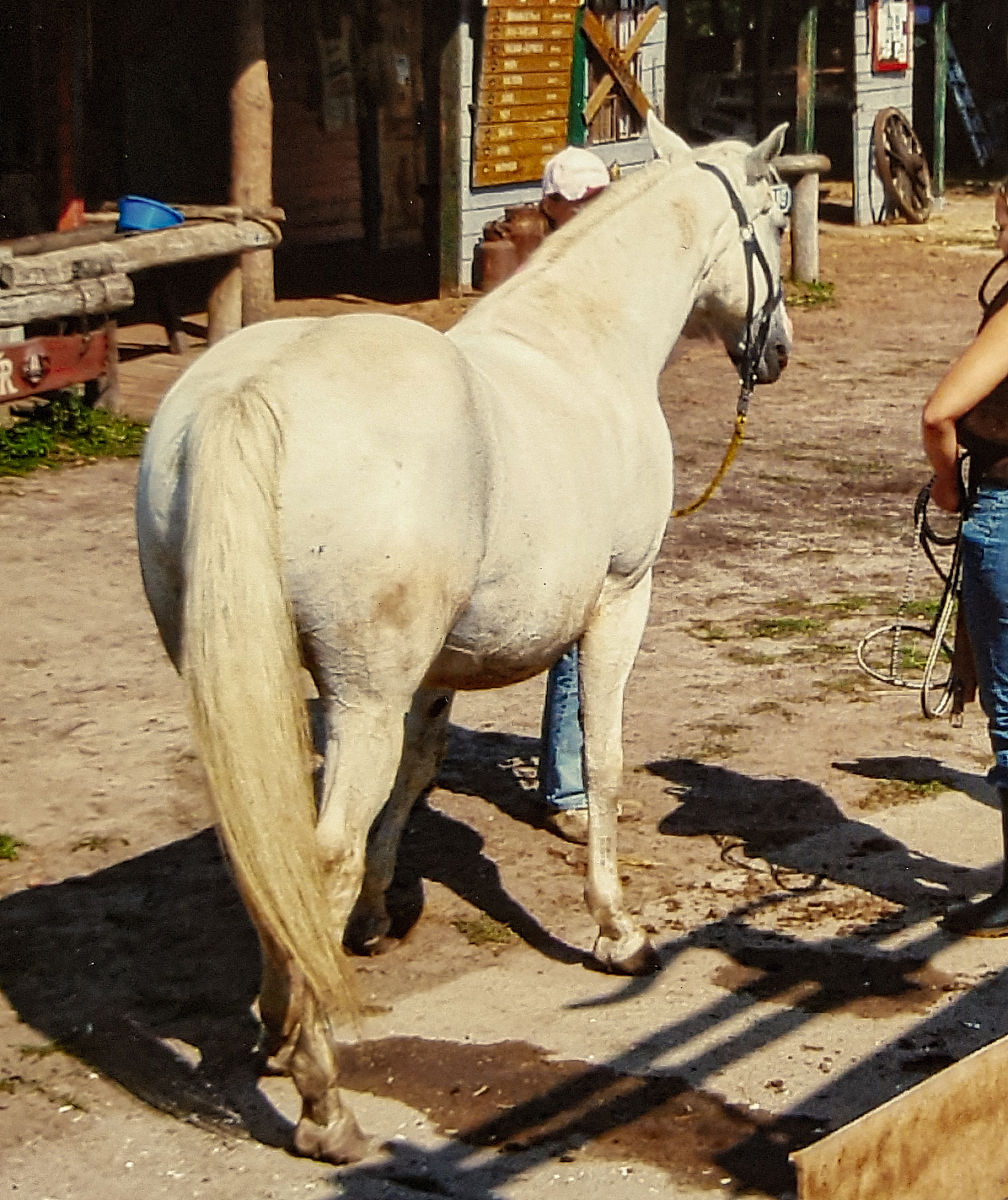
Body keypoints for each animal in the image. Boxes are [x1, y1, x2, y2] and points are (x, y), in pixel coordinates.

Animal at [135, 112, 792, 1163]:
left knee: (267, 843)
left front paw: (376, 919)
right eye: (775, 215)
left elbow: (418, 773)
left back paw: (279, 1021)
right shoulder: (620, 603)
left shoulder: (438, 664)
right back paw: (322, 1103)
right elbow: (602, 760)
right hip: (358, 696)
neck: (582, 349)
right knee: (316, 853)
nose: (776, 351)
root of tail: (251, 392)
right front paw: (617, 932)